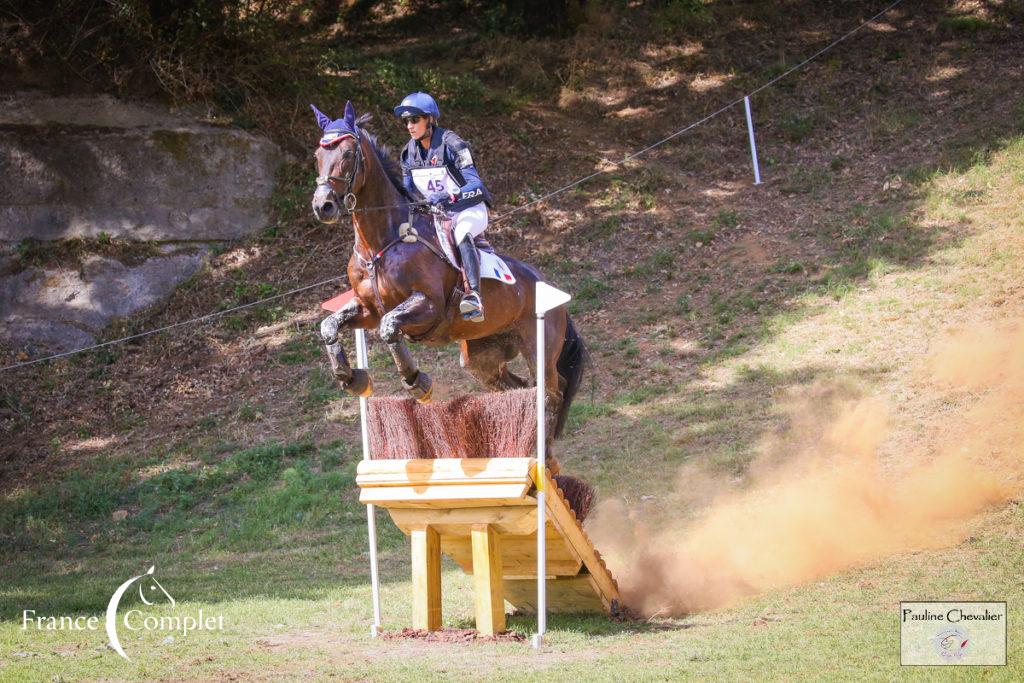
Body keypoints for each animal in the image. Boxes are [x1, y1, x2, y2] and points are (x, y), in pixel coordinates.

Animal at [309, 102, 585, 438]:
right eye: (318, 156)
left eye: (348, 153)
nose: (323, 206)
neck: (381, 242)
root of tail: (548, 287)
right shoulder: (367, 309)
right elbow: (330, 325)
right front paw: (352, 378)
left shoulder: (428, 306)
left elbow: (389, 327)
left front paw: (417, 382)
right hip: (480, 357)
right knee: (516, 387)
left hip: (539, 345)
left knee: (551, 391)